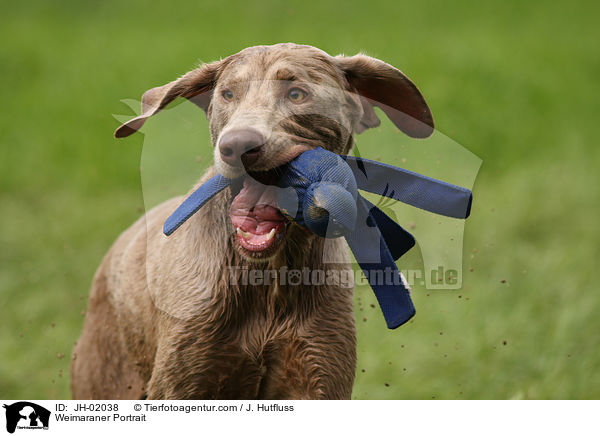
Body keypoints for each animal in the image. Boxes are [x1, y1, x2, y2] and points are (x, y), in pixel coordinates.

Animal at [71, 42, 432, 400]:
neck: (267, 278)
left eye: (297, 93)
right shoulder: (184, 382)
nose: (237, 145)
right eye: (228, 94)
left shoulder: (317, 375)